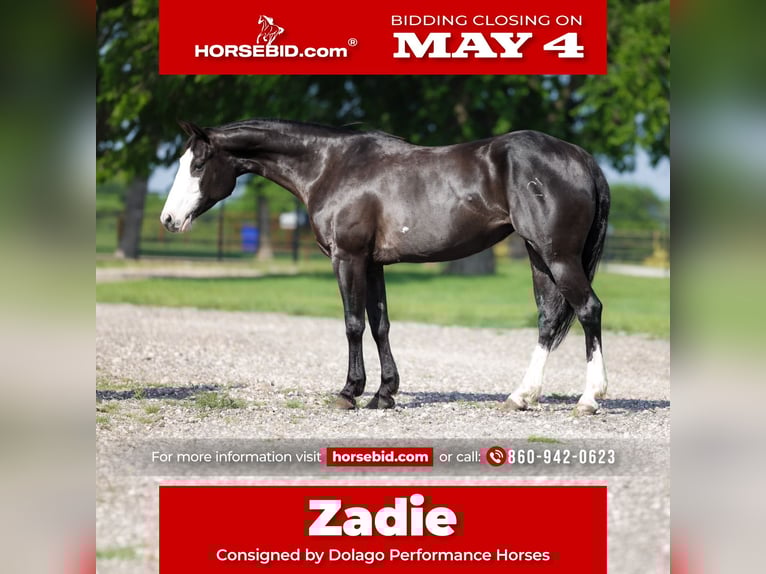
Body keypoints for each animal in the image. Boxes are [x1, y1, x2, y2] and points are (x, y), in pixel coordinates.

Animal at [160, 119, 611, 414]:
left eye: (197, 165)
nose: (167, 220)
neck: (330, 165)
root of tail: (581, 157)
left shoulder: (348, 258)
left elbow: (353, 324)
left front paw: (350, 392)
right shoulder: (373, 264)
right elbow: (380, 325)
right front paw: (384, 393)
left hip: (557, 256)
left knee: (589, 310)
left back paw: (590, 398)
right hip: (539, 257)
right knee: (549, 319)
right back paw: (521, 396)